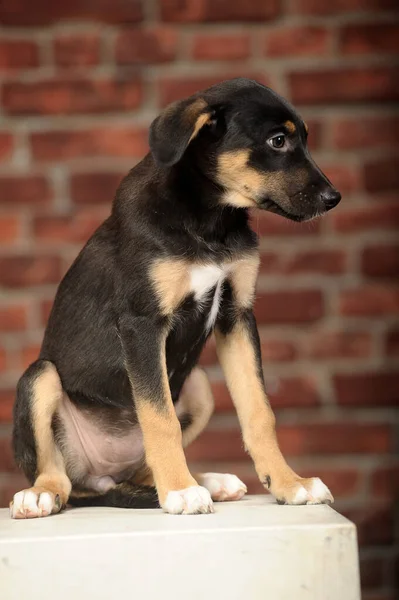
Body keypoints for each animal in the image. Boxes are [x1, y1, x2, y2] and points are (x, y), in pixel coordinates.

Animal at [9, 77, 340, 516]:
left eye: (303, 138)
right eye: (278, 140)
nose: (334, 198)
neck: (209, 220)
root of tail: (102, 477)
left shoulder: (237, 315)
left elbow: (258, 411)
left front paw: (289, 483)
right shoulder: (142, 325)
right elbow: (159, 416)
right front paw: (181, 492)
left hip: (197, 385)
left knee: (141, 470)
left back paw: (207, 482)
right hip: (40, 378)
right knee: (59, 476)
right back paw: (42, 495)